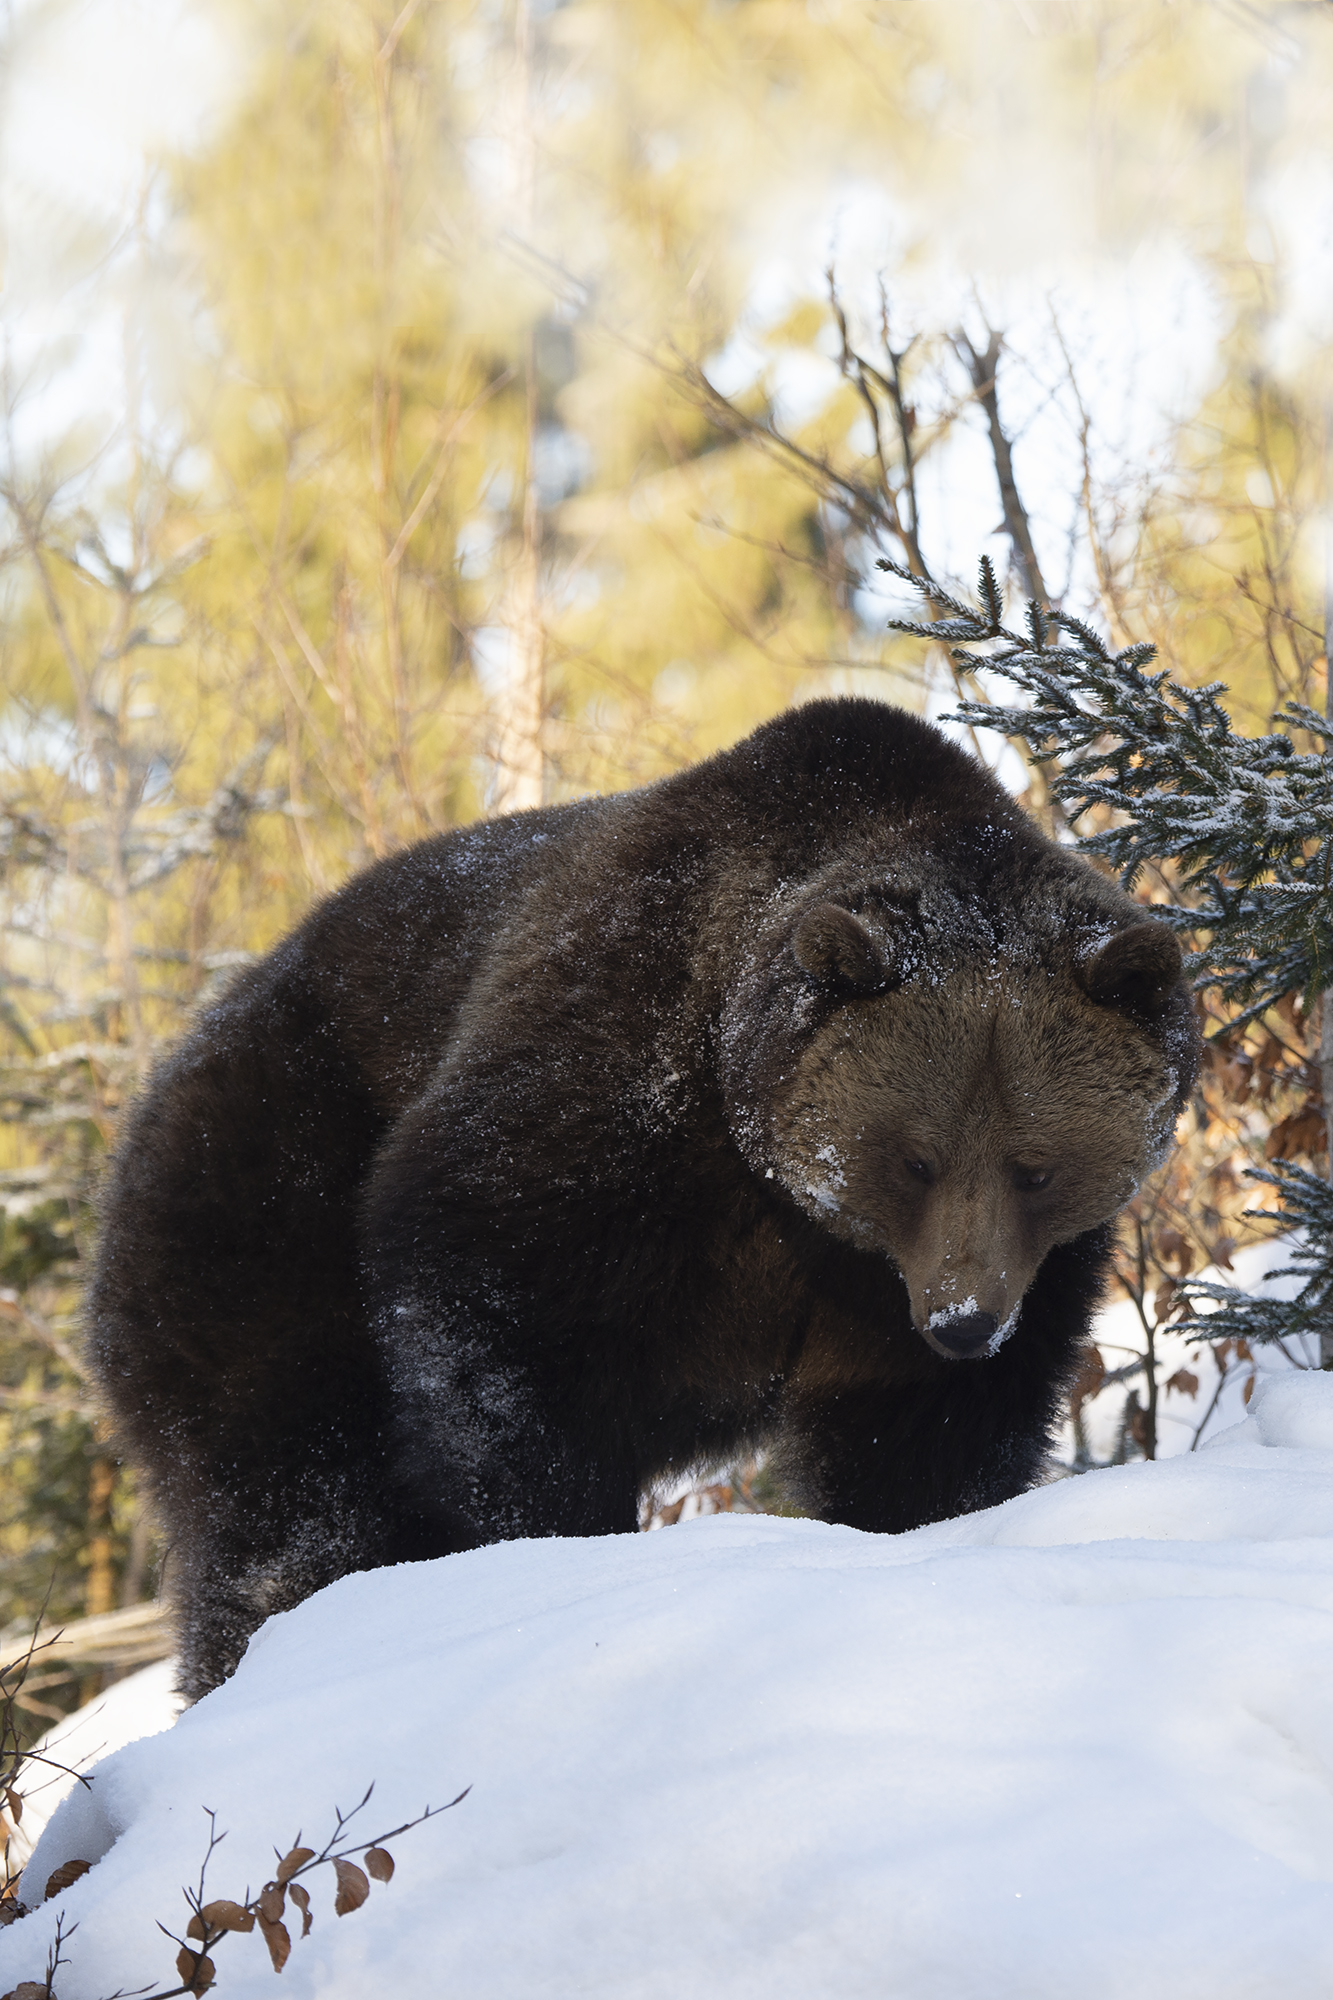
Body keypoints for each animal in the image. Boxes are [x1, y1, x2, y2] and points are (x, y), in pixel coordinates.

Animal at [89, 697, 1200, 1700]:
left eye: (1035, 1165)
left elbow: (921, 1429)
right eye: (914, 1158)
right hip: (266, 1191)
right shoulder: (620, 1080)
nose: (964, 1319)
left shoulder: (943, 1277)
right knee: (292, 1486)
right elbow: (492, 1299)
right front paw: (549, 1539)